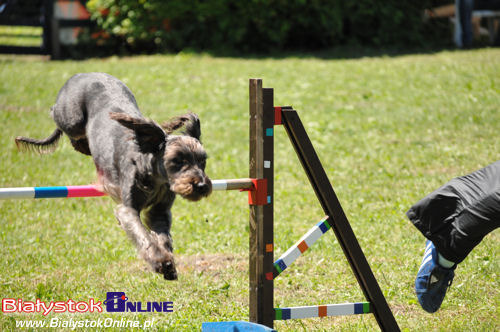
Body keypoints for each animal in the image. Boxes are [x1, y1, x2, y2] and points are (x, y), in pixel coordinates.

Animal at [14, 72, 212, 280]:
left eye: (202, 161)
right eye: (177, 160)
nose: (201, 185)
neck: (155, 179)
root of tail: (82, 74)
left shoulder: (159, 211)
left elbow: (163, 238)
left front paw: (168, 264)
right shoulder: (127, 209)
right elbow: (143, 235)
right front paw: (160, 262)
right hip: (72, 119)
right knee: (60, 119)